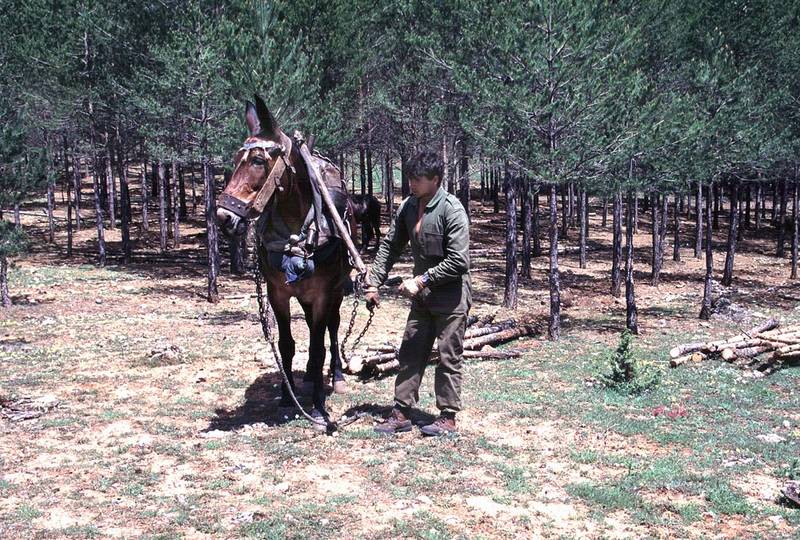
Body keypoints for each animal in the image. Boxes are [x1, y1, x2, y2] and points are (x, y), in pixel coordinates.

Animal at [219, 97, 356, 424]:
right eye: (236, 158)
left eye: (258, 161)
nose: (223, 217)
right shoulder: (278, 293)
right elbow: (286, 344)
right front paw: (285, 396)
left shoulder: (323, 294)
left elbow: (318, 347)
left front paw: (318, 406)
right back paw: (306, 377)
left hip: (336, 292)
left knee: (333, 328)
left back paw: (336, 377)